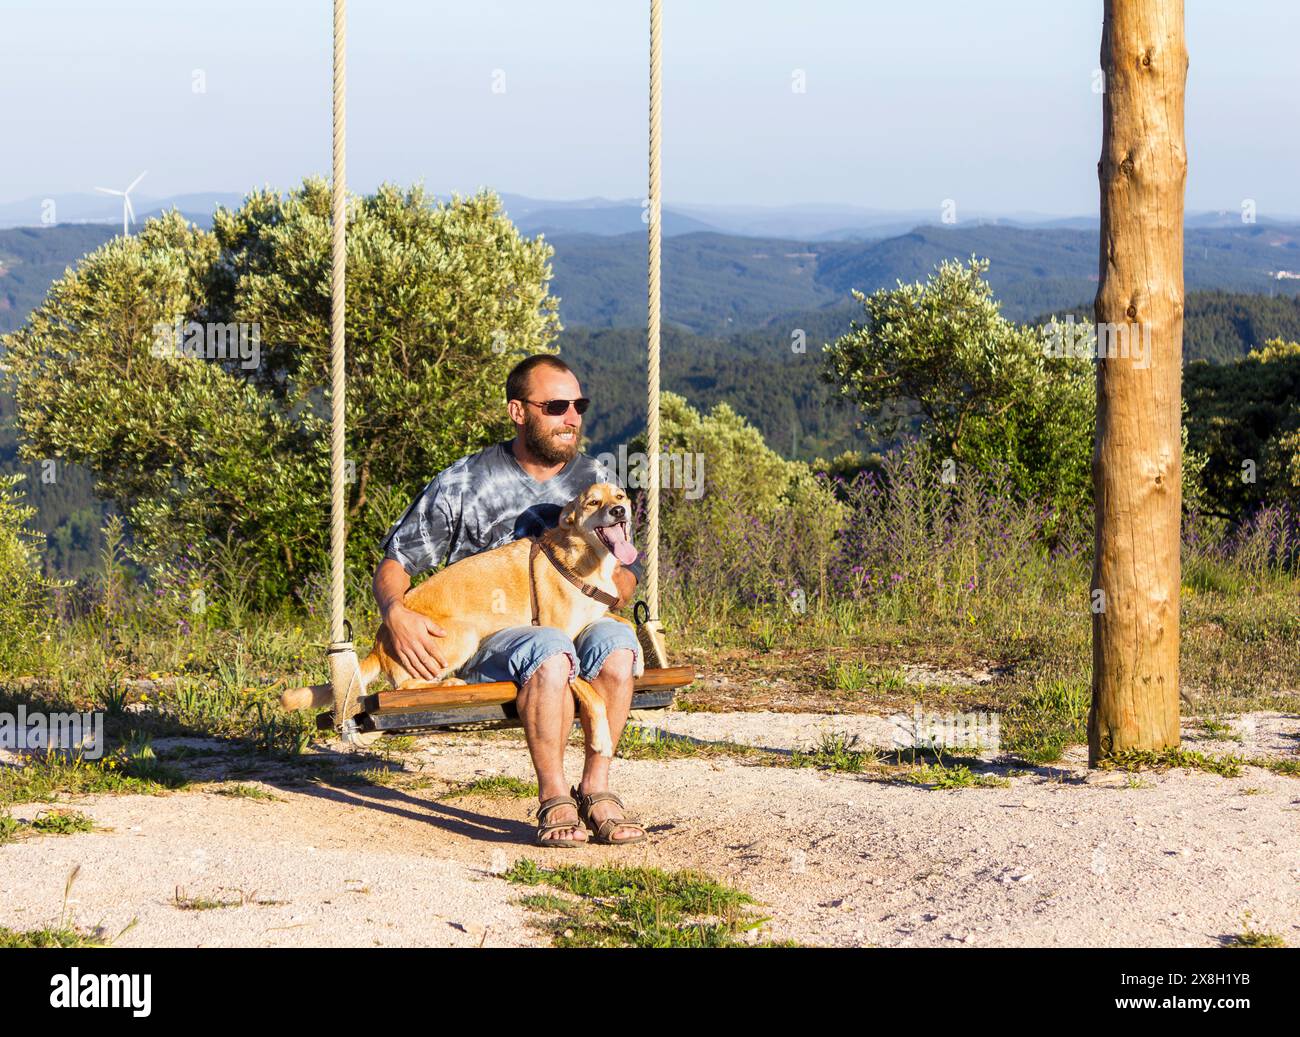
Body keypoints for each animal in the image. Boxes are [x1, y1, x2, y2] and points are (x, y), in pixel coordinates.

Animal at [280, 483, 639, 758]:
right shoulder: (560, 633)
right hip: (463, 635)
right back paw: (450, 683)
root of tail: (380, 642)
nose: (619, 511)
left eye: (619, 495)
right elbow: (590, 691)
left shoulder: (599, 611)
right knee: (407, 685)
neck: (588, 560)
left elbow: (627, 623)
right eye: (593, 502)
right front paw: (602, 738)